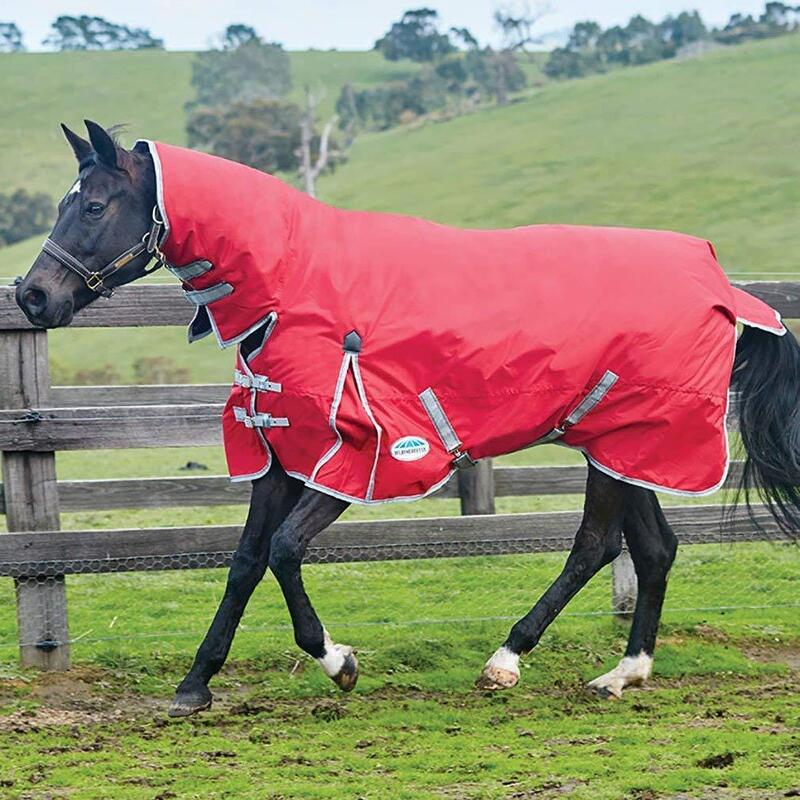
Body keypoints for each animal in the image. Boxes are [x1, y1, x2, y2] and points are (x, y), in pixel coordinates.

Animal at [15, 121, 800, 718]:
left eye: (93, 206)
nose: (32, 296)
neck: (294, 287)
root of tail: (719, 282)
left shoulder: (357, 459)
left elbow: (284, 553)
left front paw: (338, 661)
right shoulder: (280, 458)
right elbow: (243, 564)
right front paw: (194, 685)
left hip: (629, 443)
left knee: (597, 545)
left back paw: (507, 661)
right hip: (620, 444)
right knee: (649, 547)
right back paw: (621, 673)